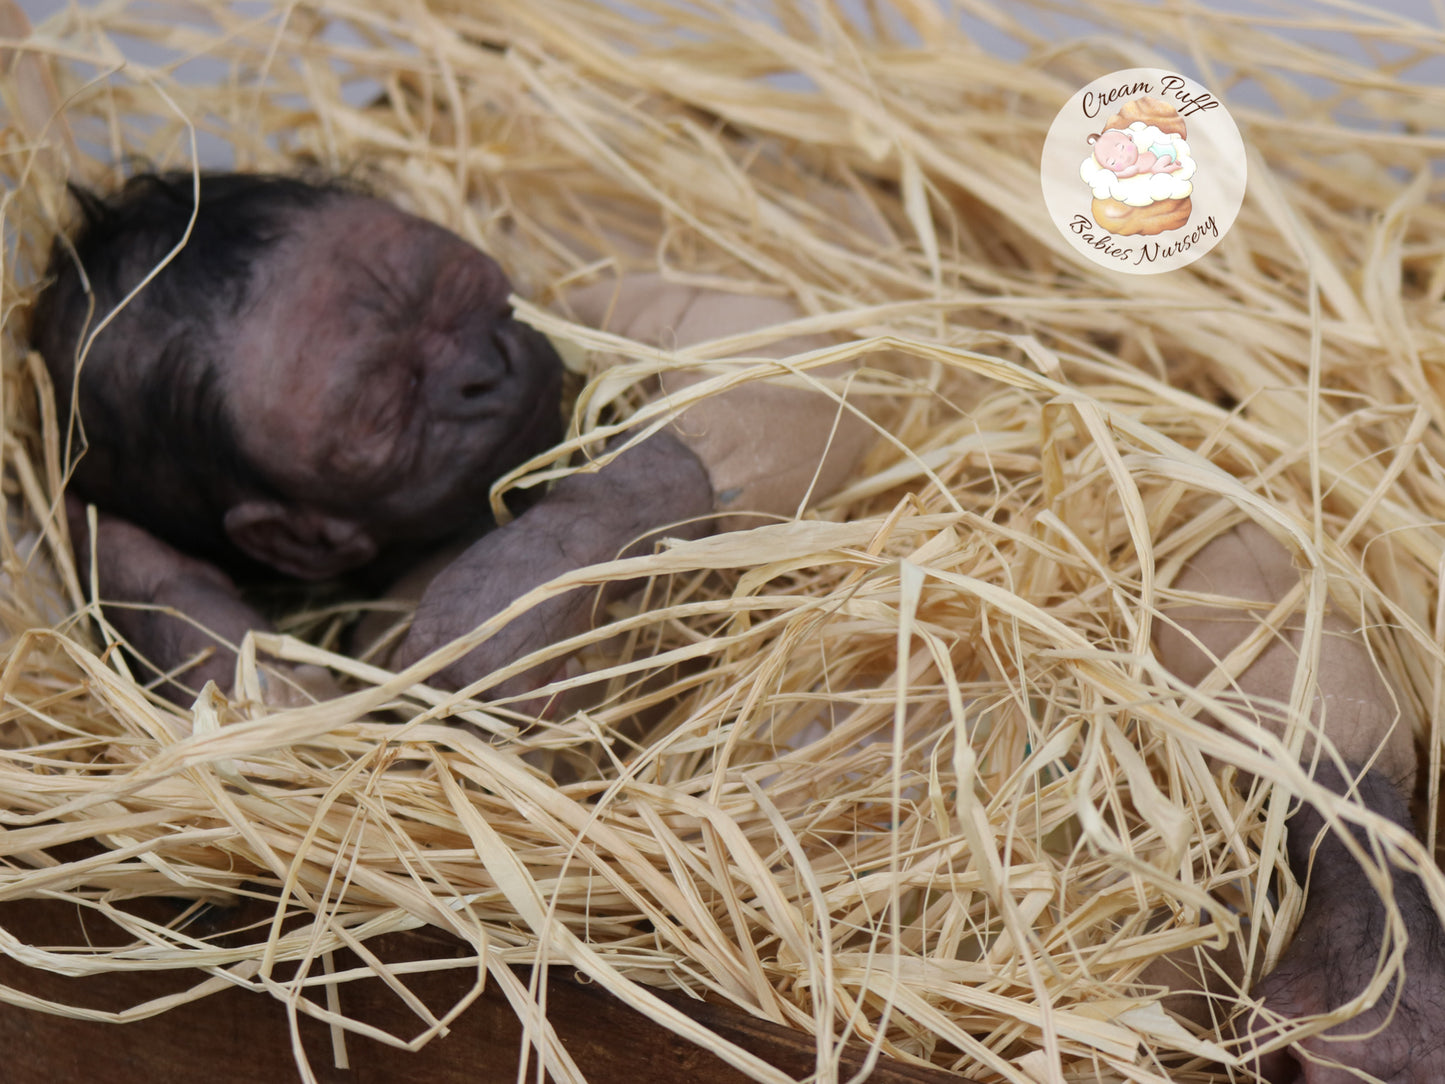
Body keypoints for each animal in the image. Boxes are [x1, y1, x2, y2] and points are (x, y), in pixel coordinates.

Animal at [29, 171, 1444, 1082]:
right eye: (380, 398)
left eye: (453, 288)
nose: (486, 370)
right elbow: (296, 730)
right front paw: (123, 544)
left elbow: (786, 360)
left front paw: (521, 579)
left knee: (1270, 654)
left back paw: (1367, 981)